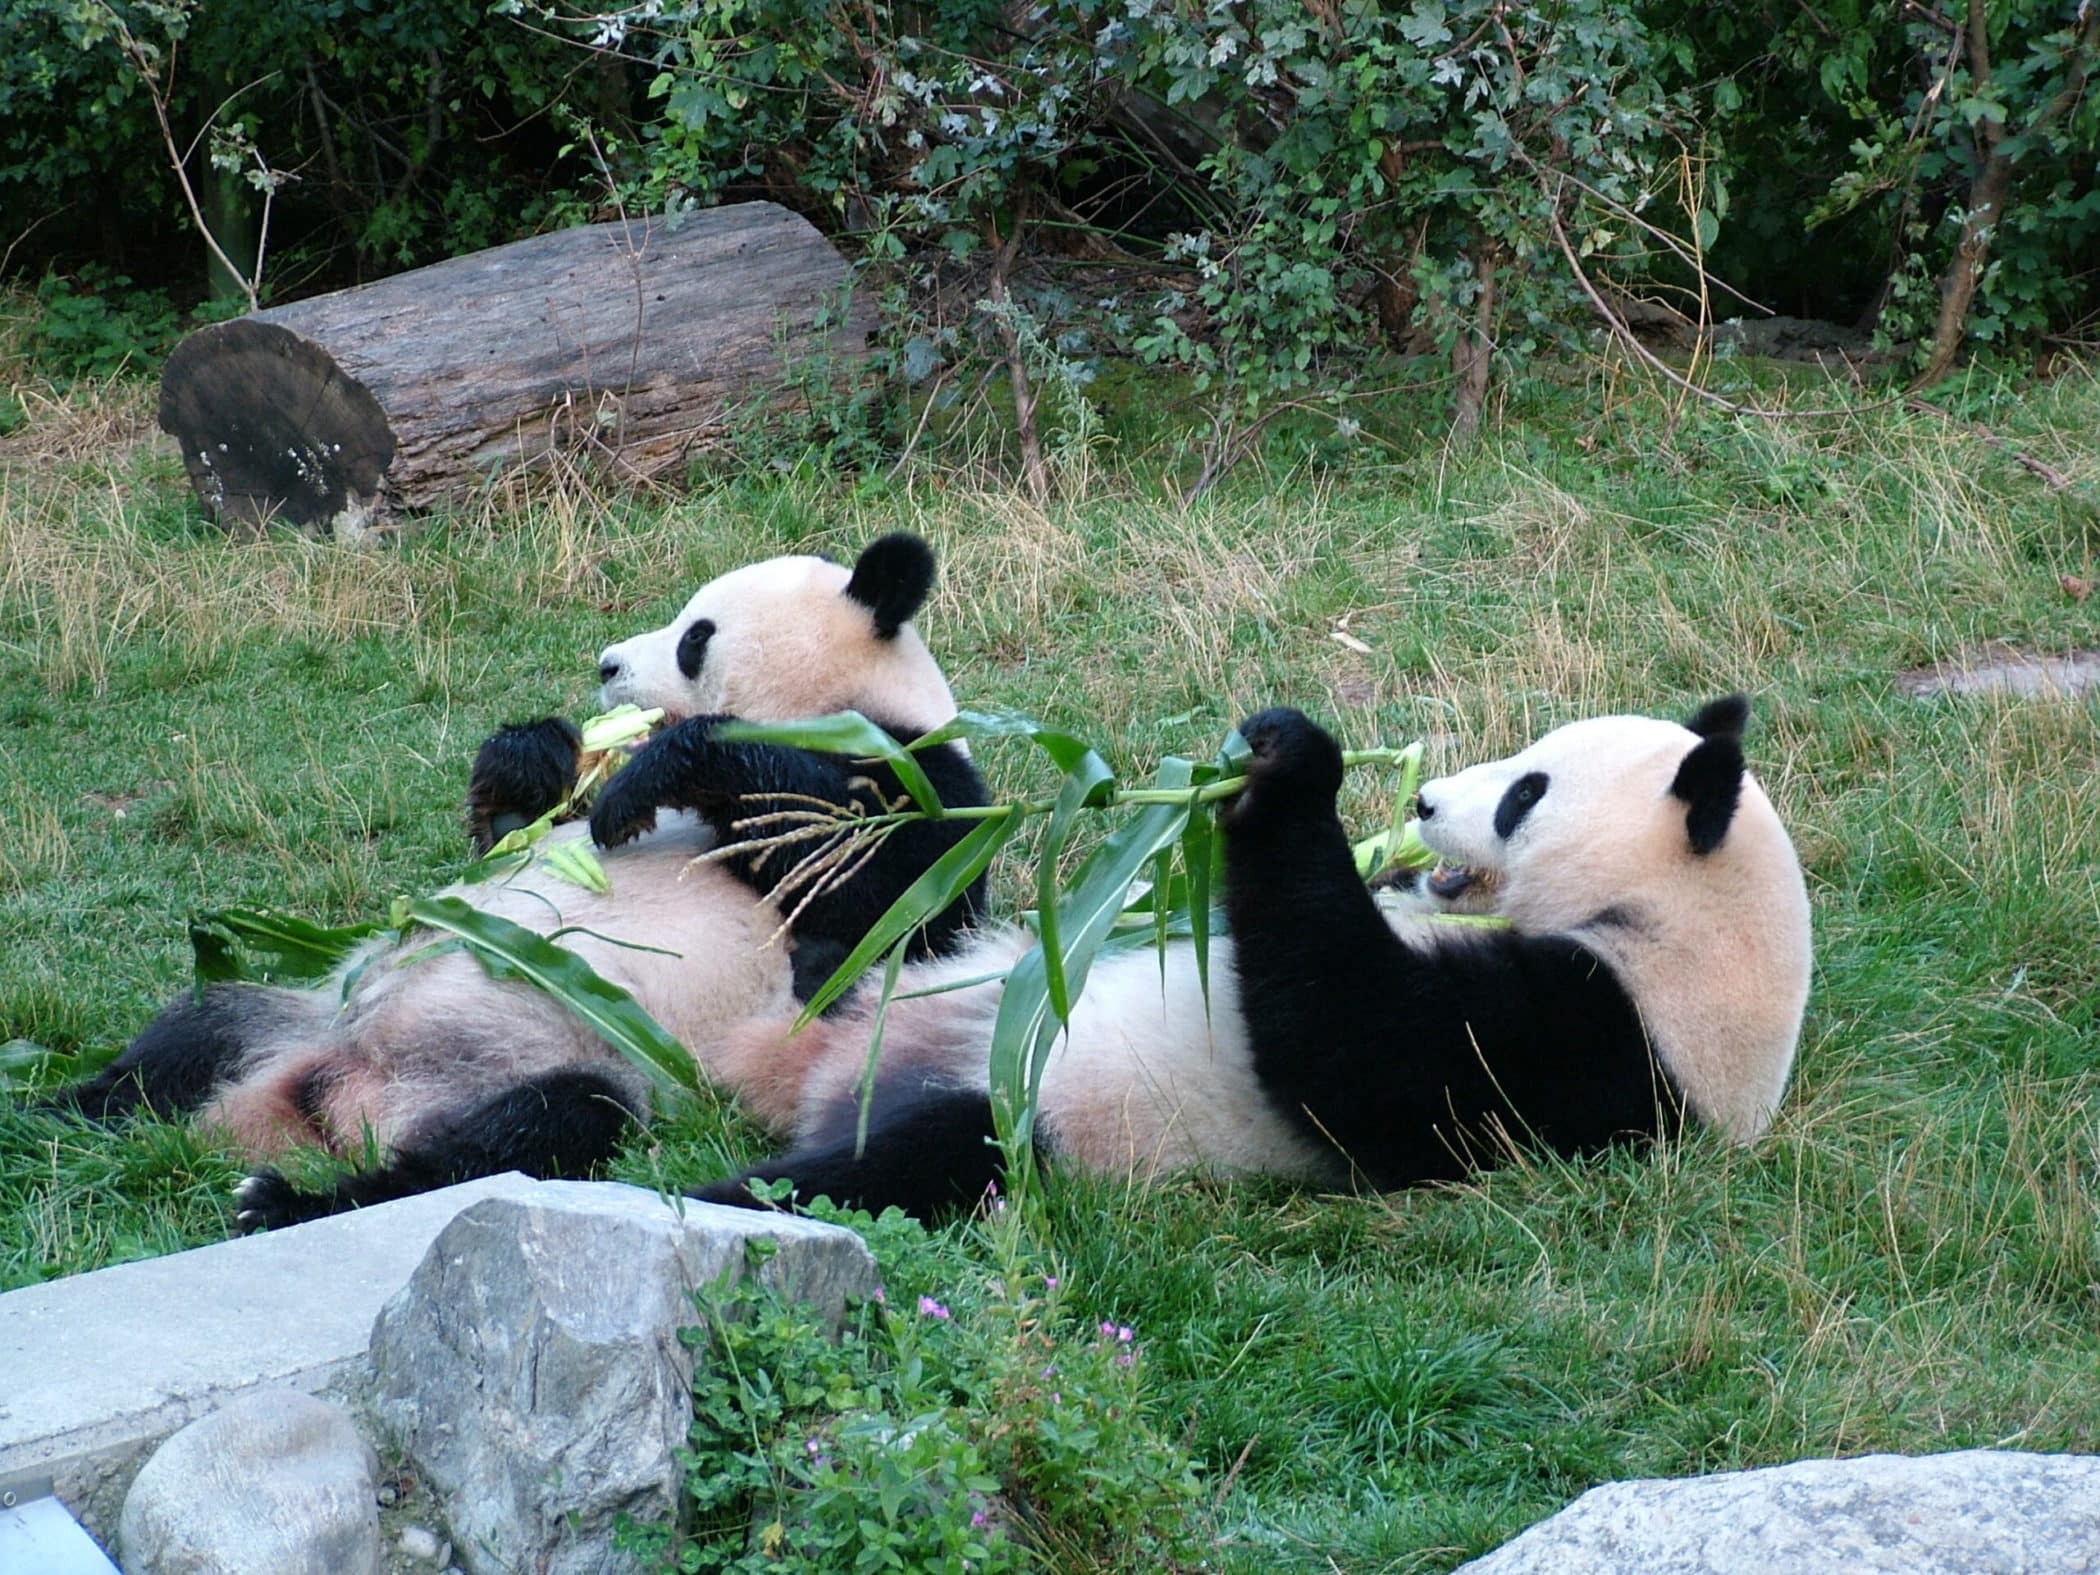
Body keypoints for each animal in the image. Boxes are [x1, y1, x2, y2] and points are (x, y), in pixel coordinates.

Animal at [53, 534, 990, 1230]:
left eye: (696, 635)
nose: (608, 664)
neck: (846, 705)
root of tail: (326, 1100)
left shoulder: (921, 784)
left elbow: (875, 896)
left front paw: (664, 767)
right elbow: (507, 836)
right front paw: (534, 754)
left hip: (555, 1057)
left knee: (526, 1134)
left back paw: (286, 1200)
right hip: (305, 1010)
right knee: (191, 1033)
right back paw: (60, 1112)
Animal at [689, 695, 1813, 1219]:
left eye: (1526, 793)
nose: (1422, 801)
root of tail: (820, 1073)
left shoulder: (1601, 1041)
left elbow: (1357, 1049)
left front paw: (1287, 766)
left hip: (1027, 1111)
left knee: (895, 1164)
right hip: (908, 983)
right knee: (892, 908)